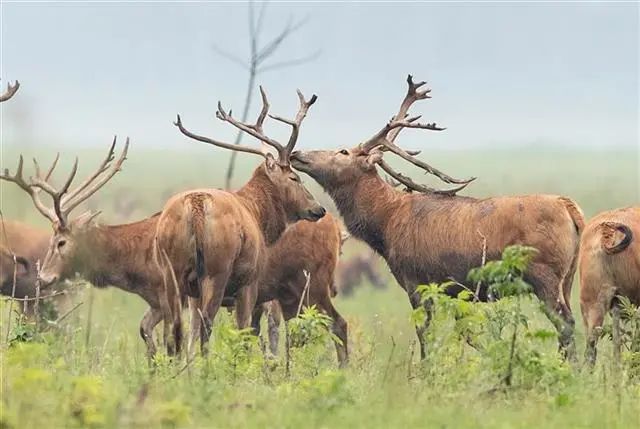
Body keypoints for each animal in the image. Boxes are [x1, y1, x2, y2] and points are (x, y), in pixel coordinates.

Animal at [155, 85, 324, 352]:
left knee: (175, 326)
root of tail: (196, 206)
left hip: (170, 268)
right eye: (295, 178)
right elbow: (244, 332)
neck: (258, 216)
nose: (318, 208)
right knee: (207, 323)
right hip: (217, 269)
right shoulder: (249, 282)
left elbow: (192, 332)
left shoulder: (193, 293)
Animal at [292, 74, 588, 358]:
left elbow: (426, 335)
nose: (297, 153)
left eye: (343, 151)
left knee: (565, 323)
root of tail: (570, 207)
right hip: (567, 276)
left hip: (543, 273)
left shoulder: (417, 281)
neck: (384, 226)